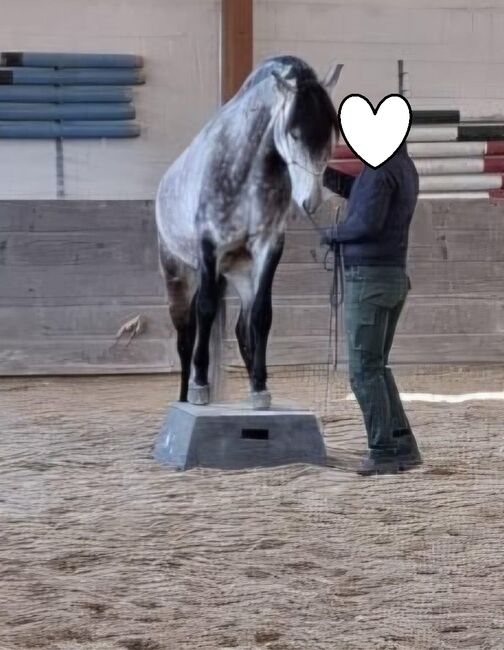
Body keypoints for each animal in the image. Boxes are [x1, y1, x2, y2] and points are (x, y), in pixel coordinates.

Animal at [155, 55, 342, 409]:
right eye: (294, 133)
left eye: (331, 133)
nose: (311, 200)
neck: (242, 171)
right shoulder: (208, 248)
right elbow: (206, 311)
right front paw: (200, 387)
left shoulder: (268, 248)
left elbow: (261, 316)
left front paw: (259, 388)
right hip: (179, 274)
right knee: (186, 334)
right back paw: (186, 394)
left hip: (240, 275)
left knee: (243, 329)